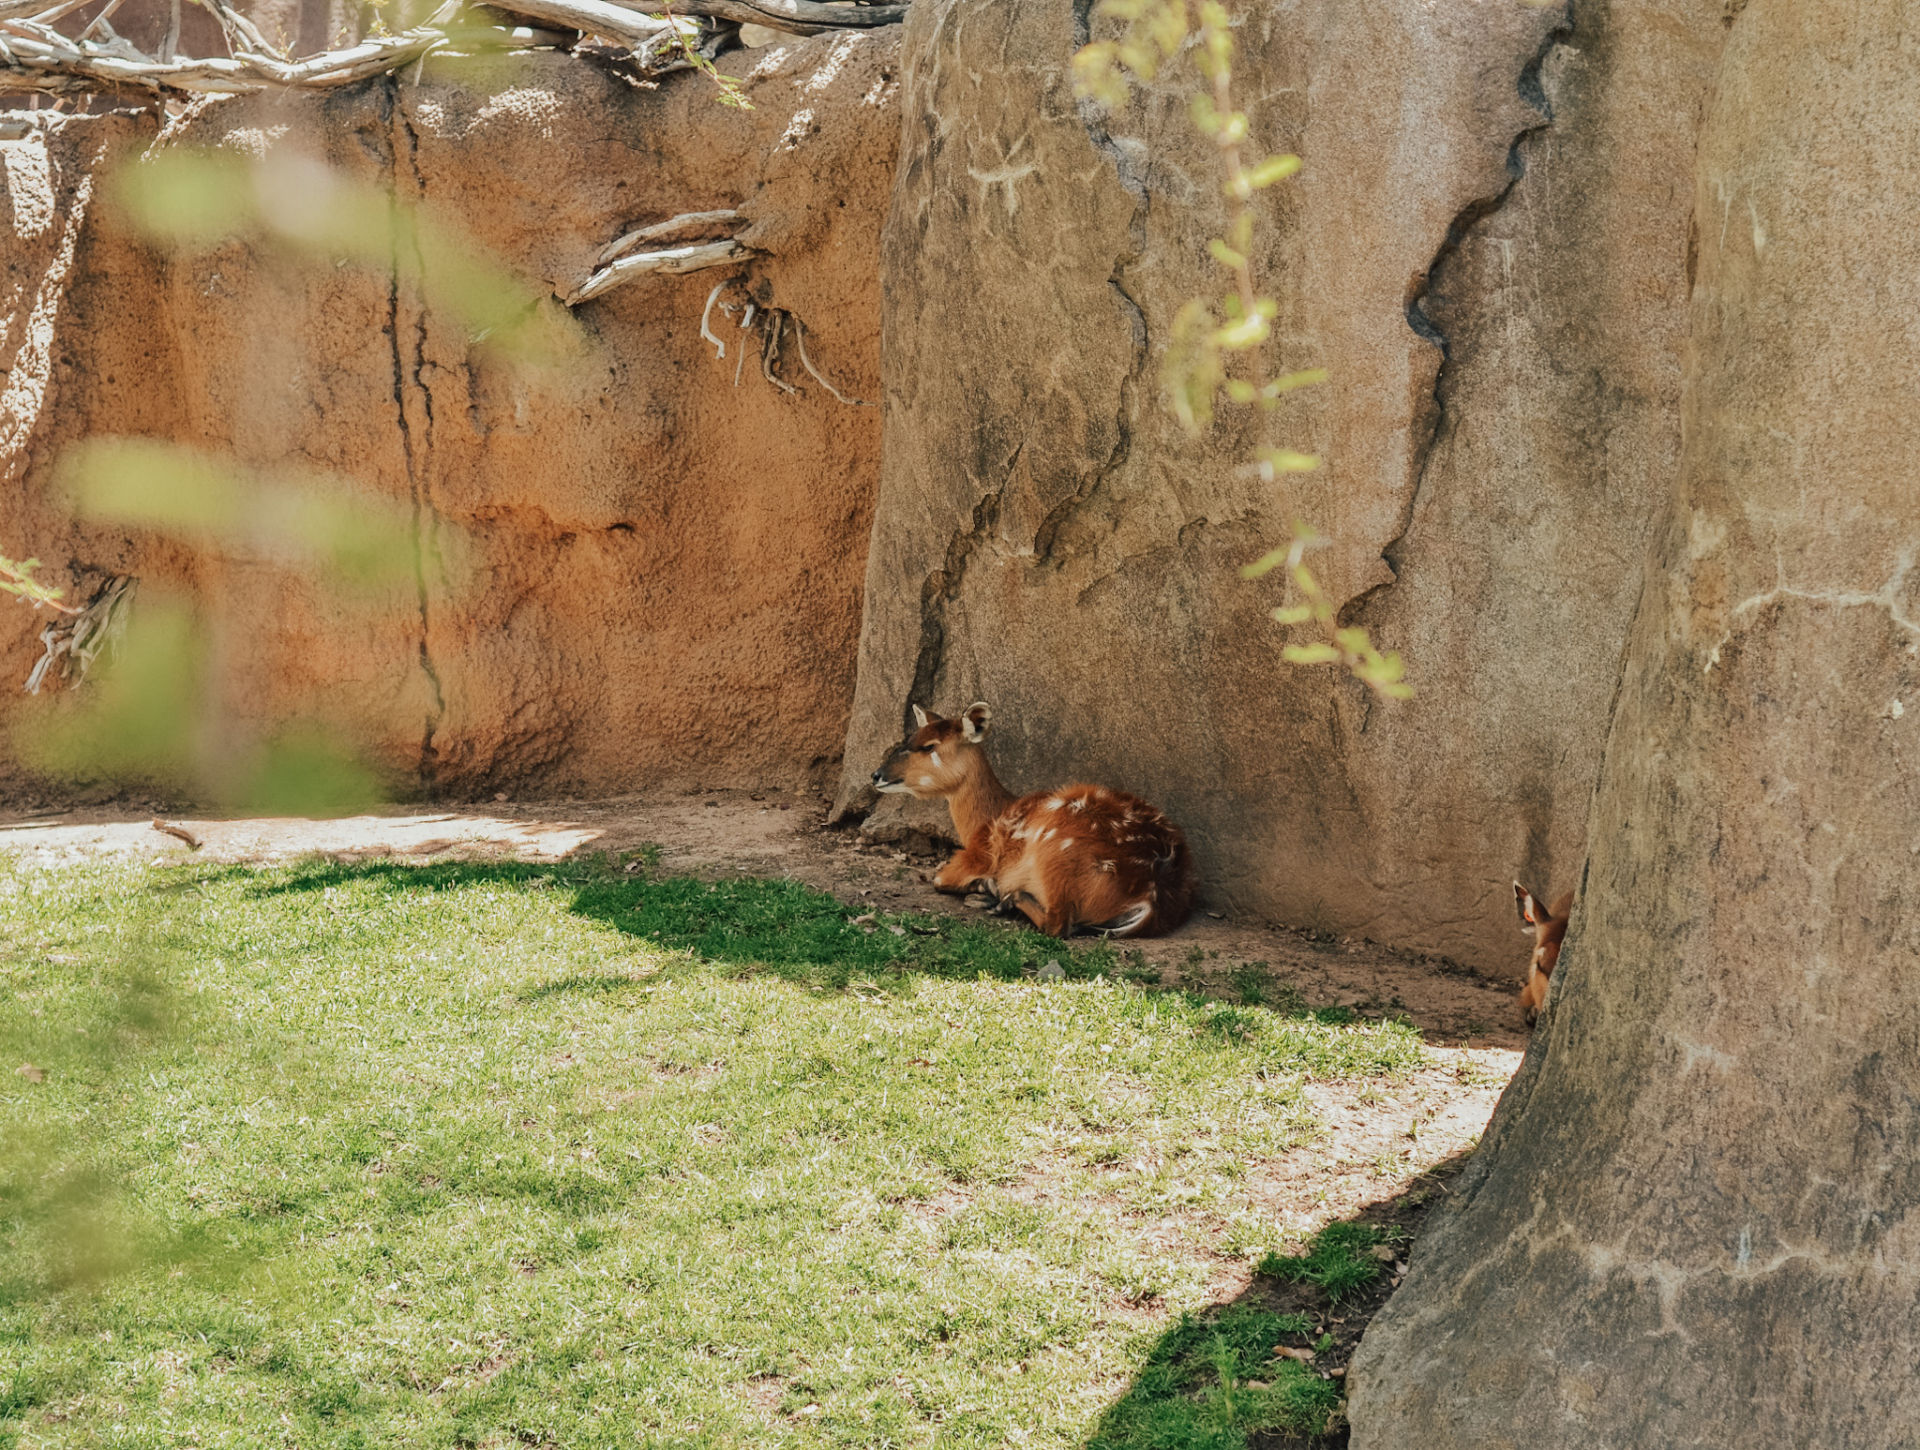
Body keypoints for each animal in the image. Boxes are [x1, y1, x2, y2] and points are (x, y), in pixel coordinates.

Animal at [875, 702, 1198, 941]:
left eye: (929, 746)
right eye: (909, 739)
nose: (876, 774)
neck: (987, 820)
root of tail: (1152, 897)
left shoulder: (976, 857)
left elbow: (940, 878)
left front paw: (985, 886)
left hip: (1055, 854)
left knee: (1058, 924)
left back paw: (1003, 898)